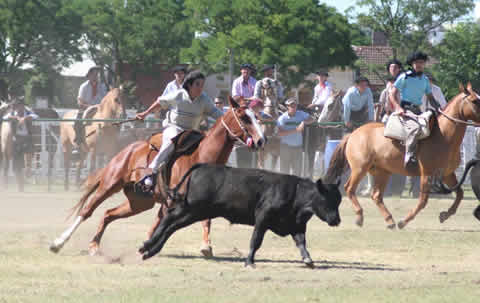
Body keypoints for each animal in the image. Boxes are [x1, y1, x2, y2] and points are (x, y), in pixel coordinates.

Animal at [50, 97, 266, 256]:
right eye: (244, 118)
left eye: (256, 116)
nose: (261, 140)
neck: (201, 157)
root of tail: (127, 149)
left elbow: (204, 221)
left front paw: (205, 247)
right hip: (110, 184)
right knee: (88, 210)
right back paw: (58, 243)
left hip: (139, 202)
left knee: (108, 214)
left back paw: (94, 246)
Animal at [324, 83, 480, 230]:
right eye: (474, 101)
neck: (444, 136)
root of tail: (353, 134)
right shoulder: (427, 174)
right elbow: (423, 200)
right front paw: (404, 222)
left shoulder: (447, 174)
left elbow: (460, 194)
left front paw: (445, 215)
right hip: (359, 168)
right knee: (349, 188)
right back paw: (360, 217)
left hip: (382, 172)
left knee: (376, 196)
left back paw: (389, 221)